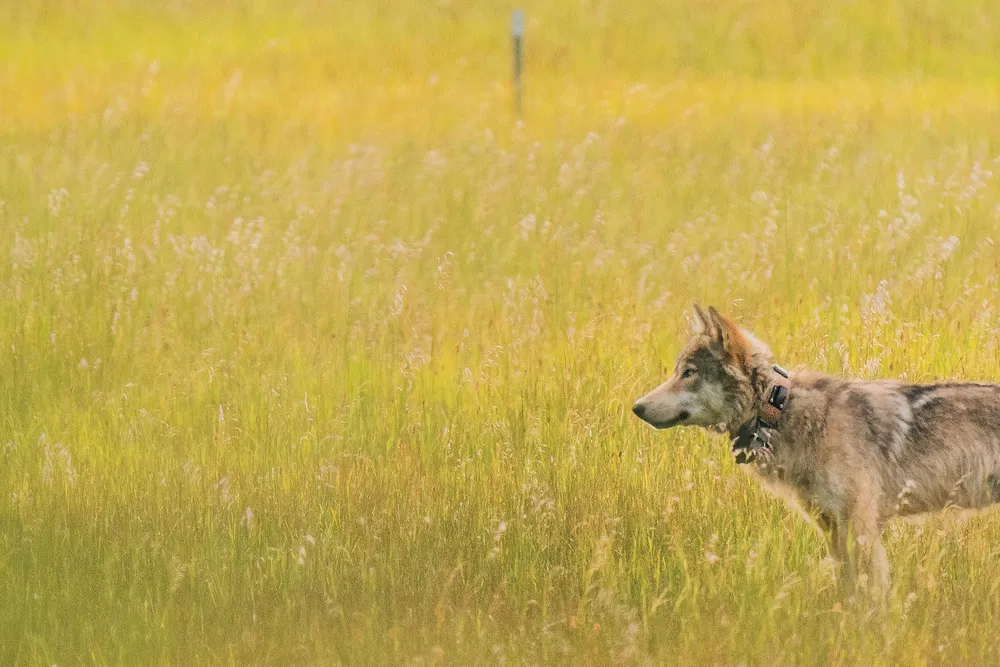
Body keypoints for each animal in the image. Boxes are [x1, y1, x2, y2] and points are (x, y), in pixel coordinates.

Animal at [632, 304, 1000, 593]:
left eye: (689, 373)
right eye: (678, 371)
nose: (636, 407)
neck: (781, 412)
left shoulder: (860, 529)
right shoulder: (832, 528)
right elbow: (847, 592)